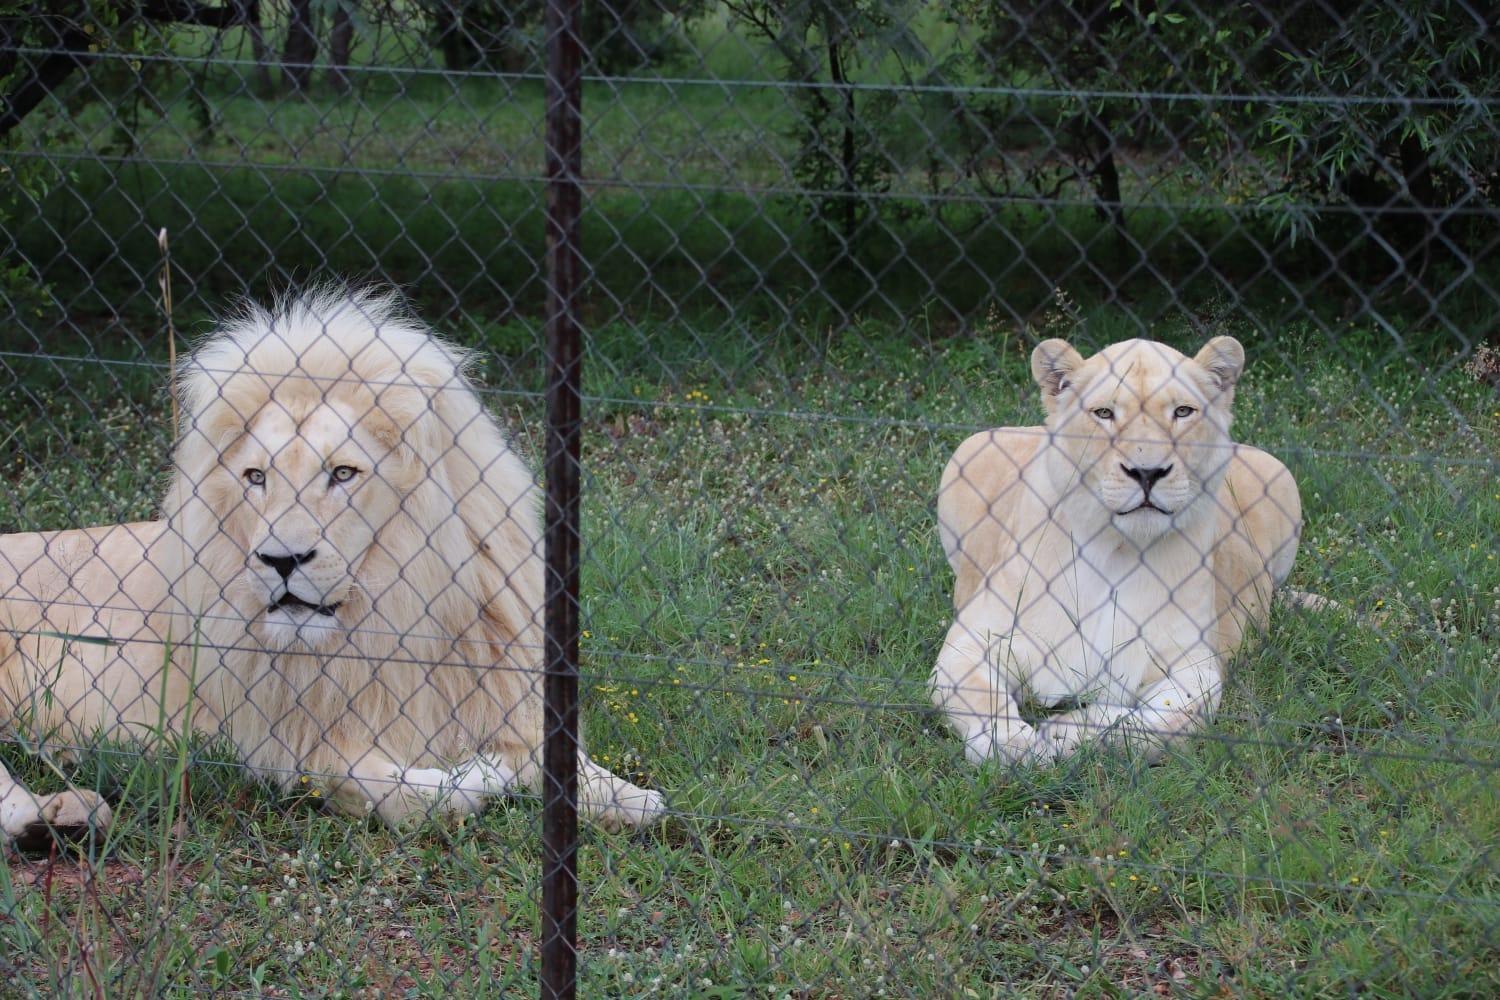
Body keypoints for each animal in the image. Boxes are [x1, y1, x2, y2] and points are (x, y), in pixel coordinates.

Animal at [0, 289, 663, 845]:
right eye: (256, 477)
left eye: (342, 473)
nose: (280, 560)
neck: (390, 618)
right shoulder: (285, 744)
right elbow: (423, 797)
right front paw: (485, 772)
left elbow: (577, 766)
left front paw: (633, 799)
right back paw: (57, 815)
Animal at [936, 335, 1302, 767]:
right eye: (1104, 413)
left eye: (1183, 411)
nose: (1147, 472)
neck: (1117, 550)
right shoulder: (974, 640)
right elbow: (982, 697)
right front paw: (1013, 746)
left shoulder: (1194, 663)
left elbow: (1168, 721)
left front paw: (1066, 733)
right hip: (967, 450)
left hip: (1282, 478)